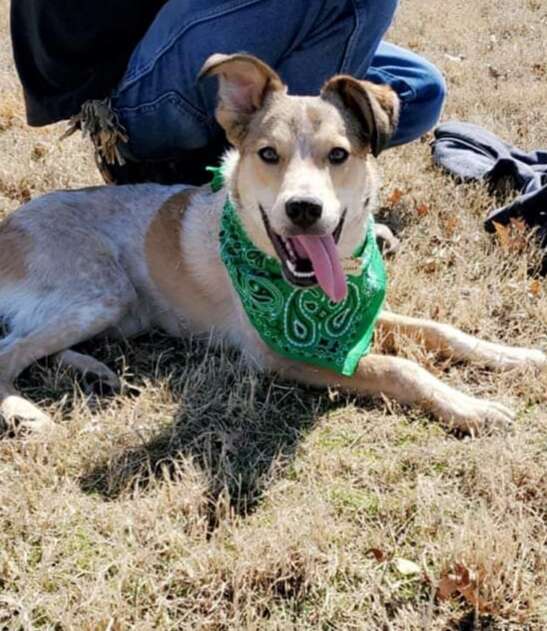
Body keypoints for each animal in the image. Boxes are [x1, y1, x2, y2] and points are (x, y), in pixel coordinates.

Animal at [1, 54, 547, 434]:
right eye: (267, 154)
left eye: (339, 155)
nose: (303, 209)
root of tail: (8, 225)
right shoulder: (276, 354)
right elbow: (399, 367)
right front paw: (471, 407)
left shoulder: (365, 308)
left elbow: (440, 330)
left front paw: (519, 357)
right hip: (101, 293)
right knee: (10, 351)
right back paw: (25, 412)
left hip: (117, 312)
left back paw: (93, 369)